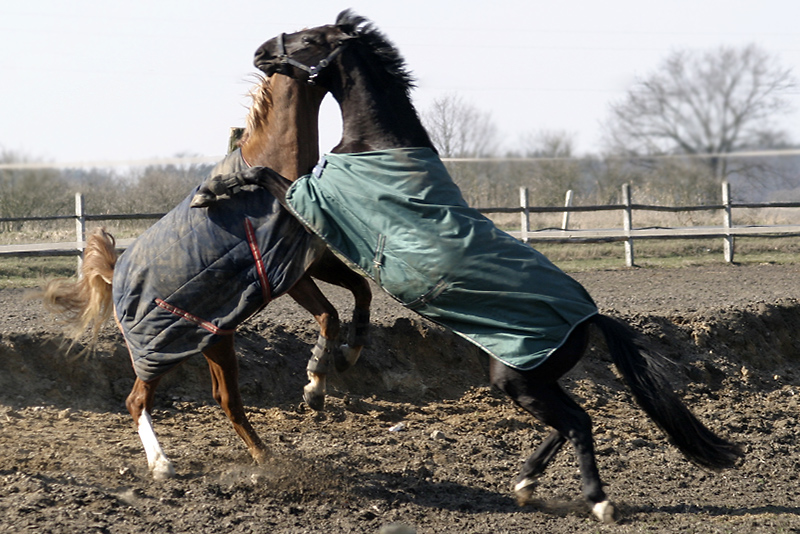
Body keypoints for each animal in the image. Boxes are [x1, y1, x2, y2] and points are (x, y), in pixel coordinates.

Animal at [40, 72, 372, 482]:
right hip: (166, 350)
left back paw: (260, 454)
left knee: (222, 398)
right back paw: (165, 464)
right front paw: (314, 386)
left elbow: (361, 290)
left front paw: (347, 355)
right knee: (142, 400)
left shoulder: (314, 260)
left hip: (214, 340)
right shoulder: (288, 274)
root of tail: (115, 274)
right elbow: (329, 314)